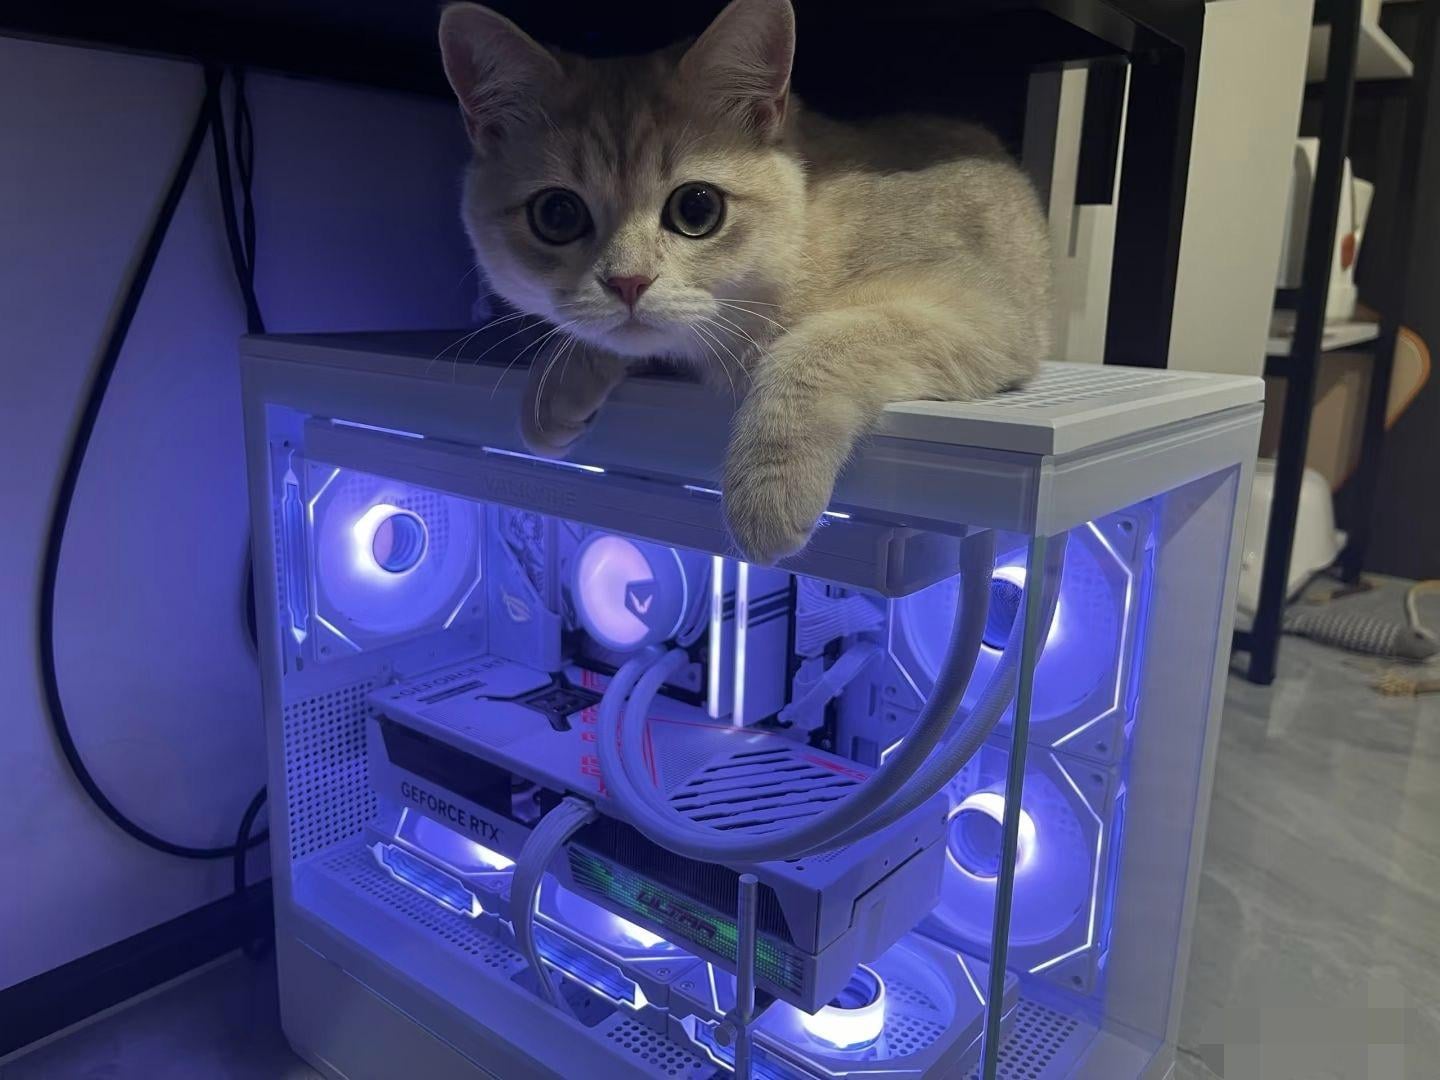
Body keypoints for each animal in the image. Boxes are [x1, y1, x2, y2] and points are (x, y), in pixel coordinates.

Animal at [439, 0, 1051, 564]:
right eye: (558, 215)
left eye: (697, 208)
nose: (629, 283)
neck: (812, 224)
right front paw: (563, 377)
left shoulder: (982, 314)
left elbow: (822, 345)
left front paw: (769, 488)